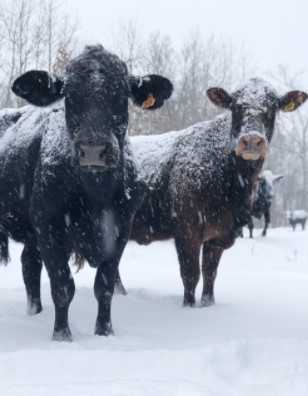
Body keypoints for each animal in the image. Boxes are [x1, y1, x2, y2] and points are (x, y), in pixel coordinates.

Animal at [0, 44, 173, 340]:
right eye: (69, 95)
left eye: (121, 94)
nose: (93, 150)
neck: (95, 194)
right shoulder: (48, 223)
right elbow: (62, 286)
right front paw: (62, 336)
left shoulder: (122, 225)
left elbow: (104, 286)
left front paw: (105, 333)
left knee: (29, 264)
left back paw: (35, 313)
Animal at [118, 77, 306, 306]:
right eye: (237, 106)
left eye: (271, 108)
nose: (252, 140)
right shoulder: (187, 230)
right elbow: (190, 275)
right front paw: (188, 307)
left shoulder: (219, 236)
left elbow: (210, 275)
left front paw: (208, 305)